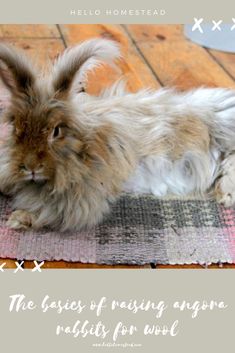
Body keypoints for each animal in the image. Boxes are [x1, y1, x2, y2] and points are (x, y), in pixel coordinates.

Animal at [0, 39, 234, 231]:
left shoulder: (81, 200)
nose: (30, 167)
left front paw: (18, 219)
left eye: (56, 131)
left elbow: (49, 213)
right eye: (15, 127)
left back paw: (225, 196)